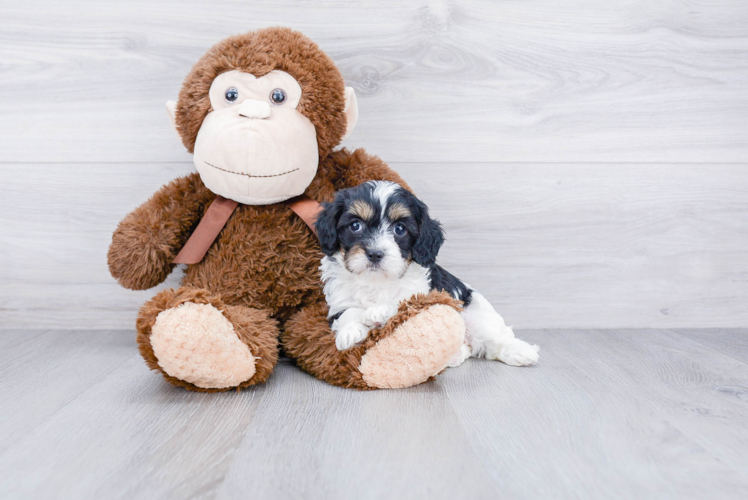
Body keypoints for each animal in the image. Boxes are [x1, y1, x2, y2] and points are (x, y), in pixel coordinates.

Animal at [314, 181, 536, 368]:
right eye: (355, 226)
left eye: (400, 229)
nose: (375, 253)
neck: (377, 281)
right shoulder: (339, 298)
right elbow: (348, 312)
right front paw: (350, 332)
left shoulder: (419, 294)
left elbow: (402, 302)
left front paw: (378, 312)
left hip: (476, 315)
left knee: (497, 337)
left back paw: (521, 352)